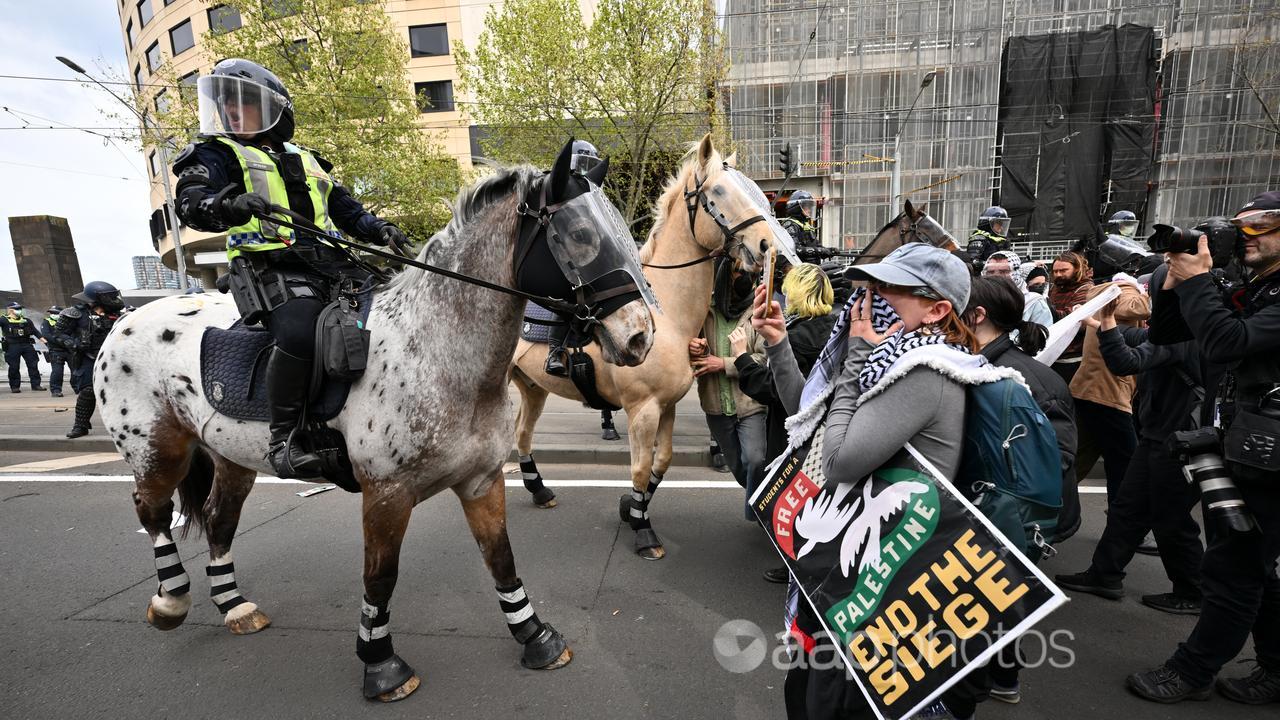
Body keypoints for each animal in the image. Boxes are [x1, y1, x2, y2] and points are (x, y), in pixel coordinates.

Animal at [92, 142, 650, 696]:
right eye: (580, 235)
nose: (642, 336)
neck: (436, 352)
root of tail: (125, 321)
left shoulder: (481, 480)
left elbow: (501, 558)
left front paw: (534, 635)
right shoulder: (386, 494)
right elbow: (380, 578)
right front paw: (381, 664)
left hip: (231, 457)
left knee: (217, 519)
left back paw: (234, 606)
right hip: (158, 449)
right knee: (153, 512)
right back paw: (170, 601)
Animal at [504, 135, 783, 561]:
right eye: (719, 192)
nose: (766, 243)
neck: (666, 315)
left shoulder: (666, 406)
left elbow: (661, 463)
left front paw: (631, 509)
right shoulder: (643, 409)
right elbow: (639, 468)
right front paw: (642, 529)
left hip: (532, 387)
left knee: (521, 433)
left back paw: (538, 489)